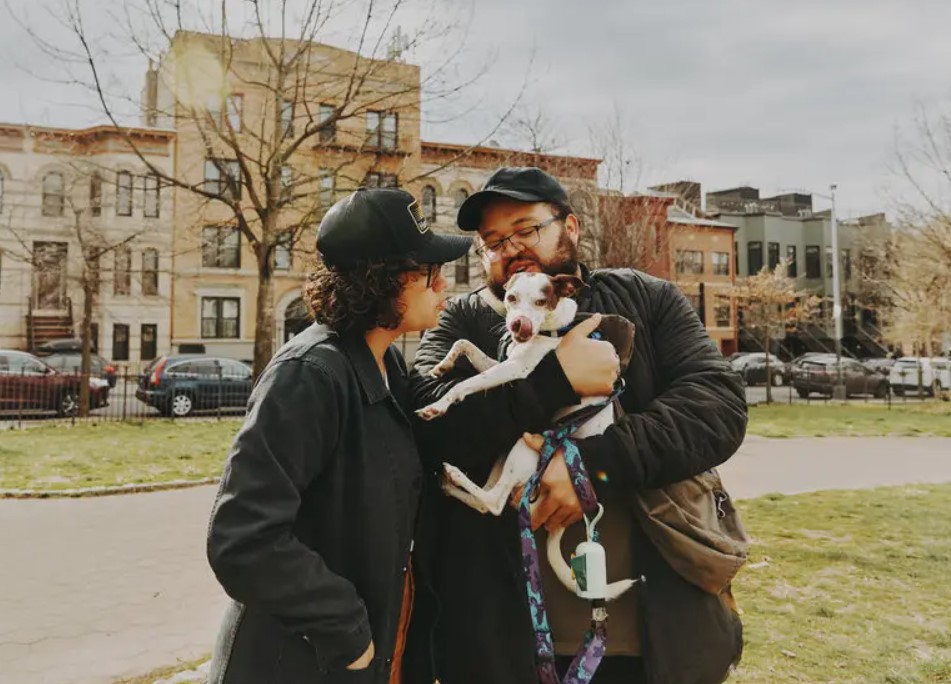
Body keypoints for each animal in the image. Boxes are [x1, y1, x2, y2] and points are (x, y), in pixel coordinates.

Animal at [418, 272, 636, 600]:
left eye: (541, 301)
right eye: (510, 298)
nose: (518, 325)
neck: (552, 327)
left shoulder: (516, 369)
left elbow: (465, 383)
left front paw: (439, 405)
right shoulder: (504, 363)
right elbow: (464, 343)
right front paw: (443, 364)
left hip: (524, 447)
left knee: (494, 501)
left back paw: (454, 474)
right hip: (506, 451)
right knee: (486, 502)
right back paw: (448, 482)